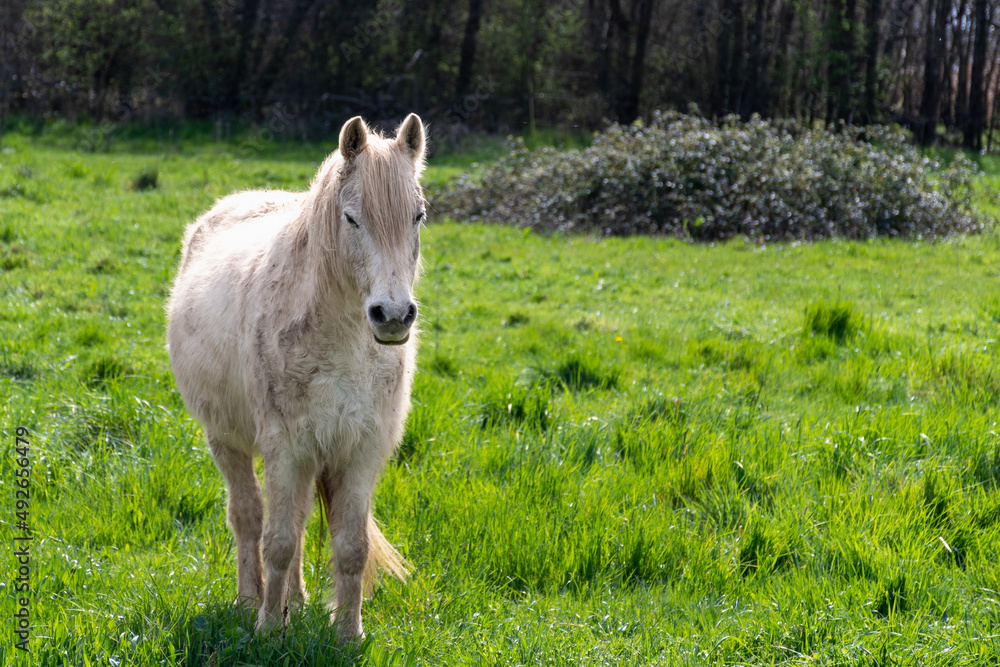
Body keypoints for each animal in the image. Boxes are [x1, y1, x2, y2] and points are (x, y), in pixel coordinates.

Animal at [166, 114, 425, 639]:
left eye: (418, 216)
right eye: (352, 218)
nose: (392, 316)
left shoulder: (359, 453)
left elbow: (349, 547)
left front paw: (348, 634)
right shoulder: (286, 448)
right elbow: (278, 539)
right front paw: (268, 627)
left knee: (301, 520)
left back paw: (298, 603)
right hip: (227, 441)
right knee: (248, 518)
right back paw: (251, 601)